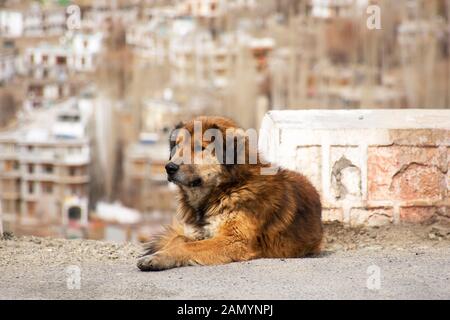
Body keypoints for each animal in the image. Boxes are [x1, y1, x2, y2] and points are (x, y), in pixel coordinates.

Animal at [137, 116, 324, 272]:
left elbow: (186, 246)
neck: (227, 188)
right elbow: (178, 239)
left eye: (199, 148)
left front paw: (158, 258)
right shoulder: (199, 233)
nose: (169, 167)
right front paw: (158, 253)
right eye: (176, 146)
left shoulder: (235, 240)